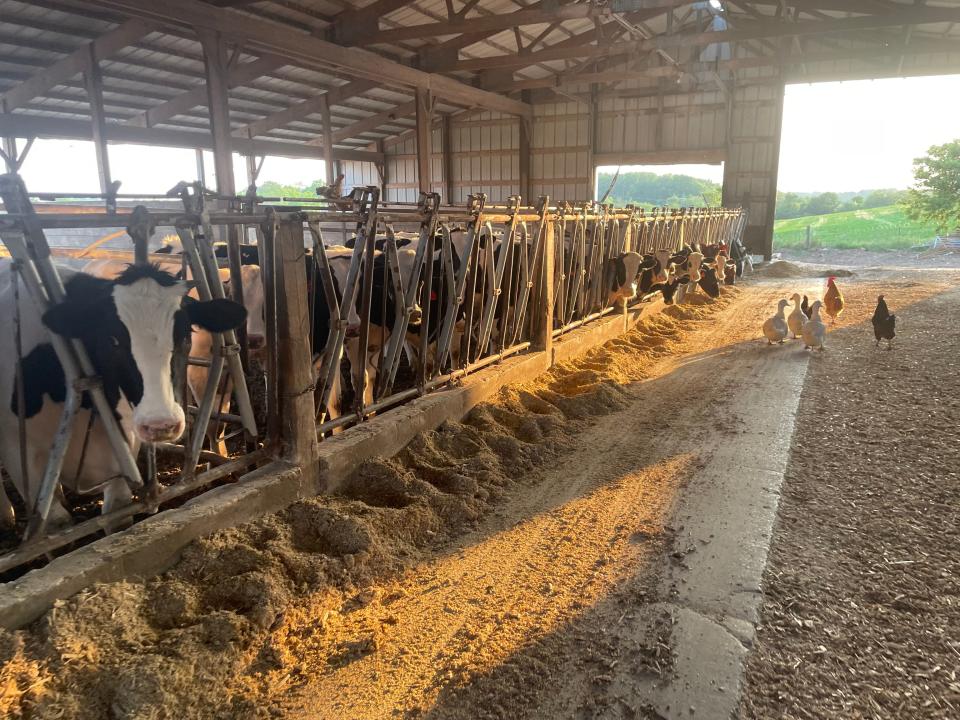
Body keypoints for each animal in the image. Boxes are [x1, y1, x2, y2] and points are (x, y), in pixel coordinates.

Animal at [0, 262, 248, 528]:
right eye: (112, 340)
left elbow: (118, 511)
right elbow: (58, 522)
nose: (160, 425)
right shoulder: (19, 455)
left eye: (184, 335)